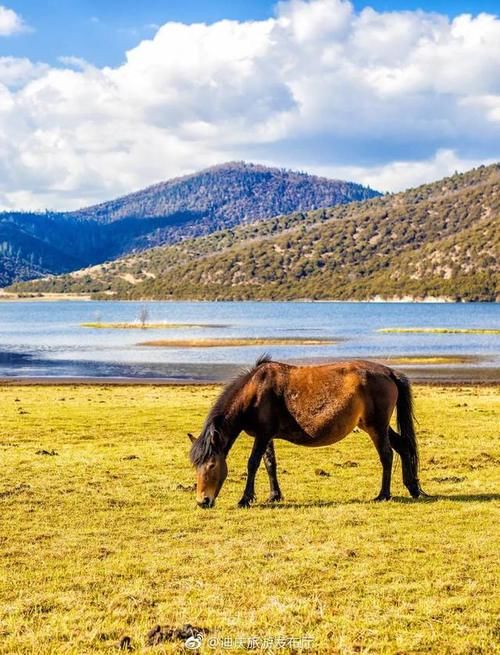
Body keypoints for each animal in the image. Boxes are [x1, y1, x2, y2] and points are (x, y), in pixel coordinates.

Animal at [188, 358, 426, 508]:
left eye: (211, 465)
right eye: (196, 466)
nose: (202, 501)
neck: (254, 391)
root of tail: (389, 372)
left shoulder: (263, 435)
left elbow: (253, 463)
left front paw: (245, 499)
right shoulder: (266, 436)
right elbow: (270, 464)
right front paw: (274, 495)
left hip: (376, 427)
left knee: (387, 455)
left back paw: (383, 494)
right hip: (379, 426)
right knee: (403, 447)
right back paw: (413, 488)